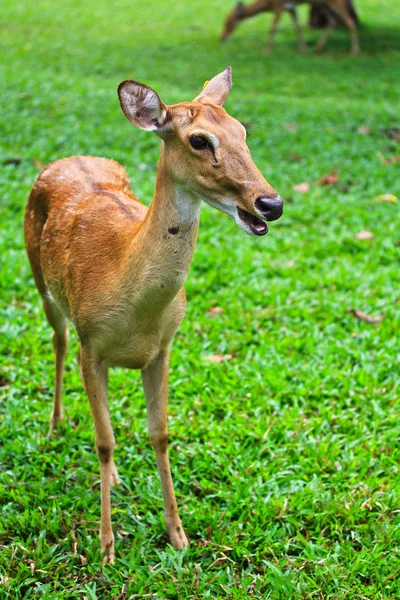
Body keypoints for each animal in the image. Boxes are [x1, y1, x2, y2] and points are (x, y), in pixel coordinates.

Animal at [24, 68, 284, 564]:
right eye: (199, 140)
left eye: (242, 131)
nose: (270, 204)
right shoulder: (91, 344)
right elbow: (104, 440)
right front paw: (106, 546)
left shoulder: (163, 347)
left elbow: (160, 434)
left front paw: (178, 535)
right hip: (41, 280)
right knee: (58, 340)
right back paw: (55, 424)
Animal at [220, 0, 360, 55]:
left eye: (229, 22)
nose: (222, 38)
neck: (267, 4)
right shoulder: (290, 9)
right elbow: (298, 27)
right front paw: (303, 50)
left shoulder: (278, 7)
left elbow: (273, 28)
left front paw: (266, 52)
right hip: (323, 4)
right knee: (332, 21)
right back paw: (318, 48)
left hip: (334, 2)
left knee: (350, 22)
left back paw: (354, 51)